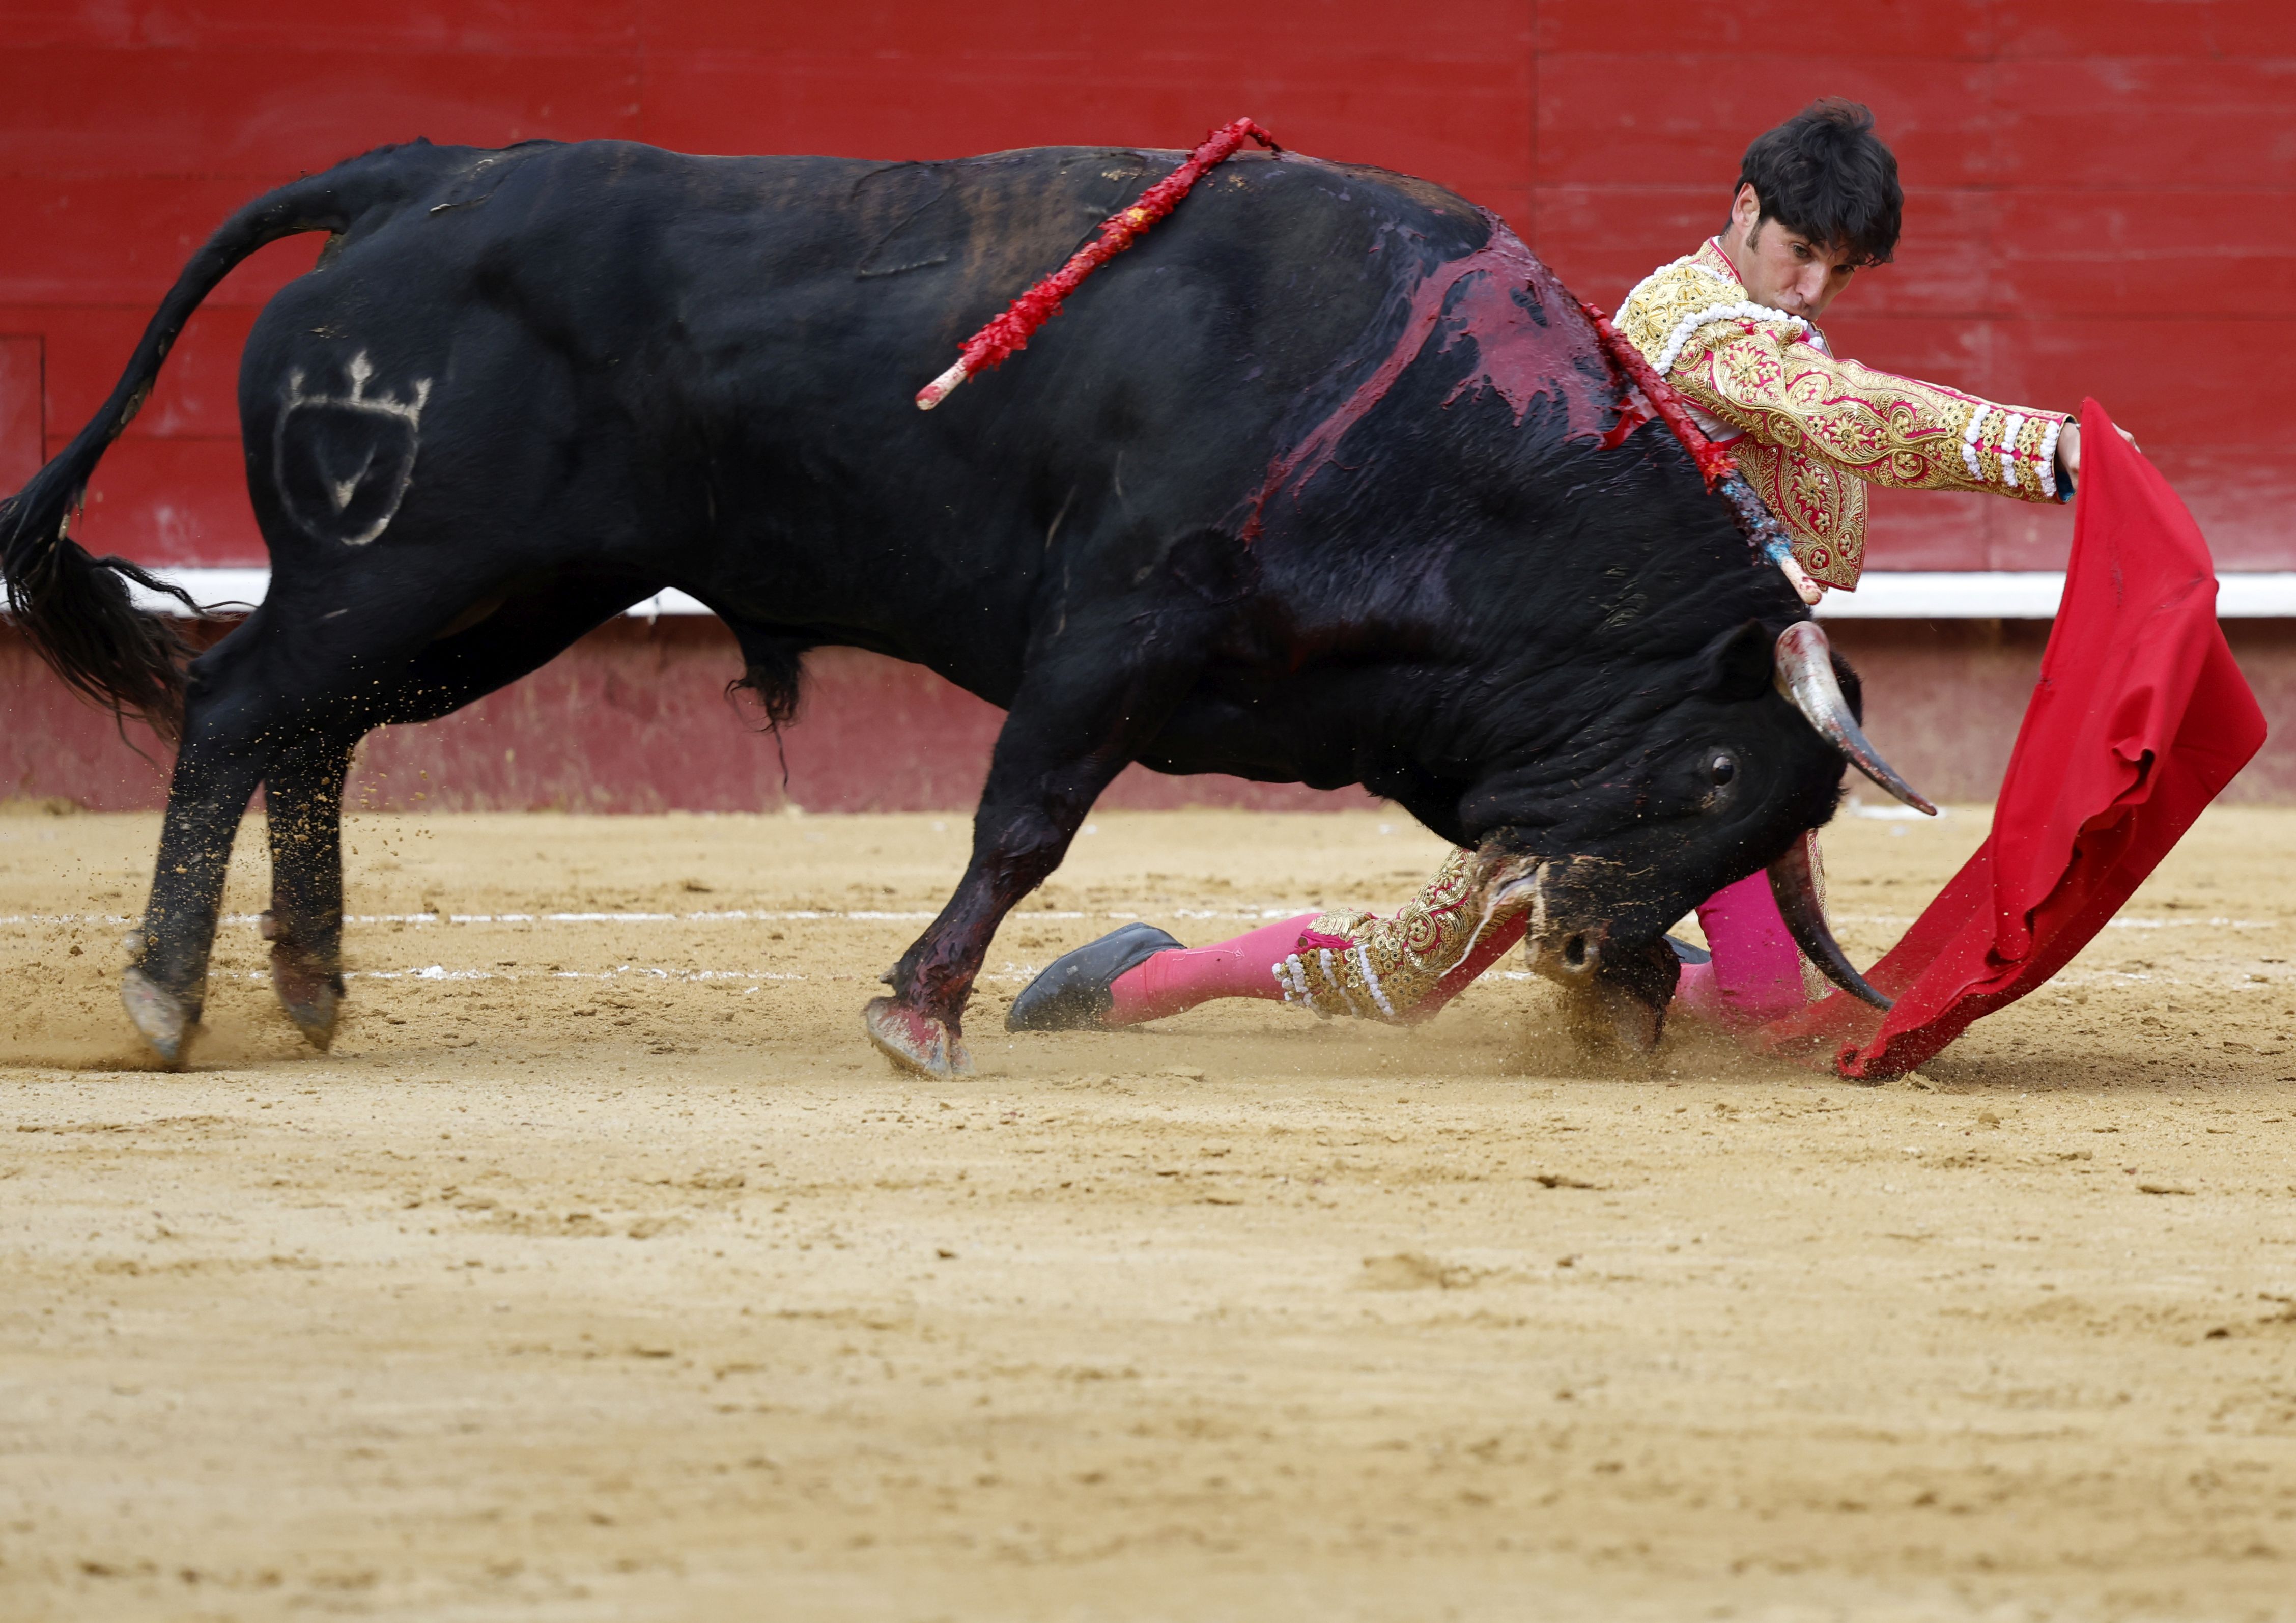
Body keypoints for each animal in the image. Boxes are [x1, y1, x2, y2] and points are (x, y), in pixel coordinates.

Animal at [4, 139, 1883, 1074]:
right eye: (1719, 778)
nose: (1590, 963)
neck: (1425, 420)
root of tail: (412, 179)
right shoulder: (1115, 627)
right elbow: (1024, 821)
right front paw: (918, 1013)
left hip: (500, 597)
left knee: (312, 729)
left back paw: (309, 981)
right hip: (405, 562)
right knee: (241, 703)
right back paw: (169, 994)